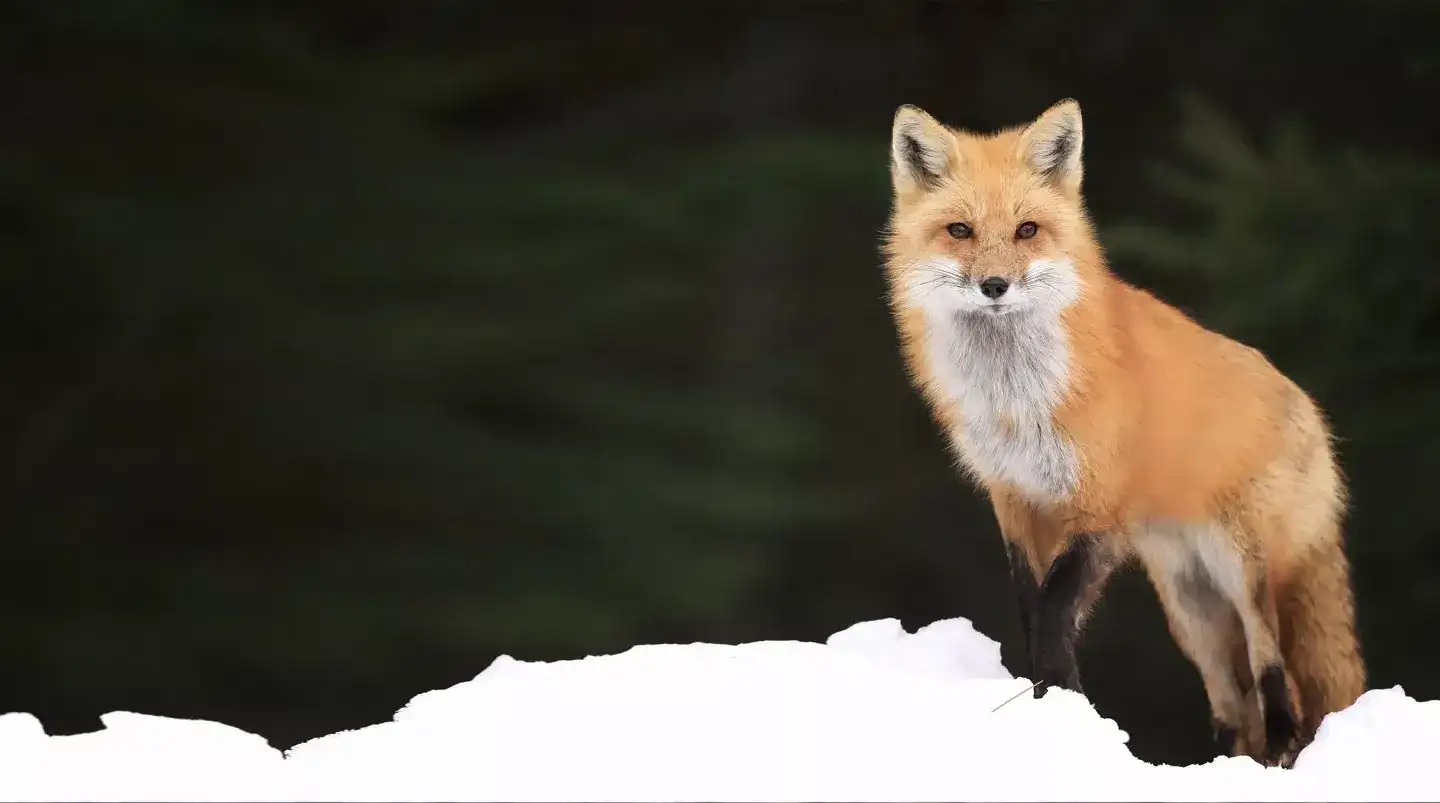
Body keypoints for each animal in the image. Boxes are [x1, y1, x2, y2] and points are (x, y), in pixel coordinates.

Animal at [880, 99, 1366, 767]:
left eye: (1027, 231)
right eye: (960, 231)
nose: (995, 286)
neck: (1018, 401)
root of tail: (1312, 411)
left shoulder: (1099, 510)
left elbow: (1055, 609)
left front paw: (1061, 703)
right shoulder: (1014, 499)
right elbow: (1031, 606)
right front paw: (1050, 701)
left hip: (1244, 573)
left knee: (1274, 671)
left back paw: (1281, 750)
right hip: (1190, 607)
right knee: (1232, 703)